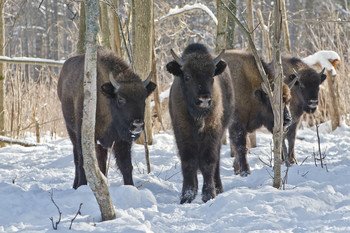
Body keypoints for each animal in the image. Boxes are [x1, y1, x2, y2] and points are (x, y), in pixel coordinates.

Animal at [165, 43, 234, 204]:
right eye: (187, 76)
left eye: (212, 76)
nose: (204, 100)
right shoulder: (182, 132)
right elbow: (188, 162)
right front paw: (187, 196)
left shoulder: (212, 132)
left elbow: (208, 161)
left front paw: (209, 194)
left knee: (216, 160)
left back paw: (218, 188)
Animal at [223, 49, 294, 177]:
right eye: (273, 103)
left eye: (288, 101)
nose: (288, 120)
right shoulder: (237, 123)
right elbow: (241, 146)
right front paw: (245, 171)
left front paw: (237, 169)